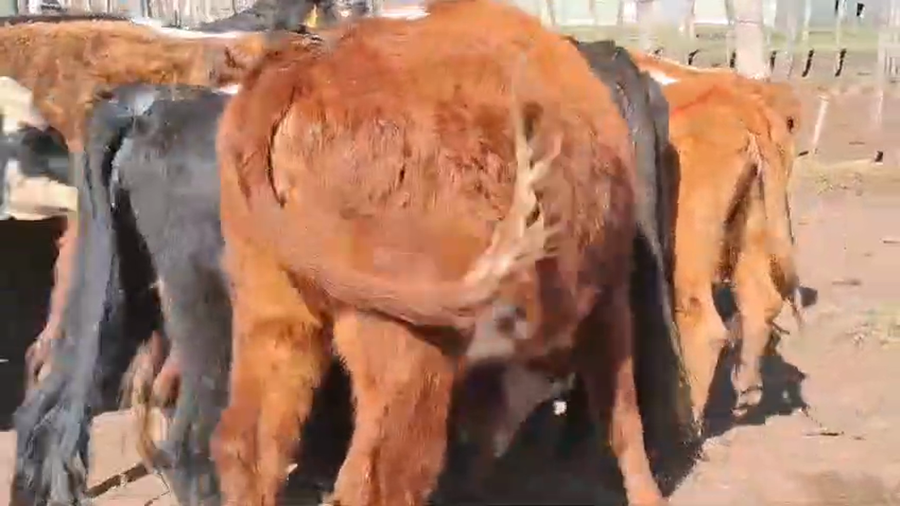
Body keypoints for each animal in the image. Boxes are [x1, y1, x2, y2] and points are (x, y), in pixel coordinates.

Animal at [213, 3, 691, 506]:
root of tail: (305, 63)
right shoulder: (609, 296)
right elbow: (623, 417)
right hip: (408, 350)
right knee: (382, 478)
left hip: (275, 314)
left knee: (247, 445)